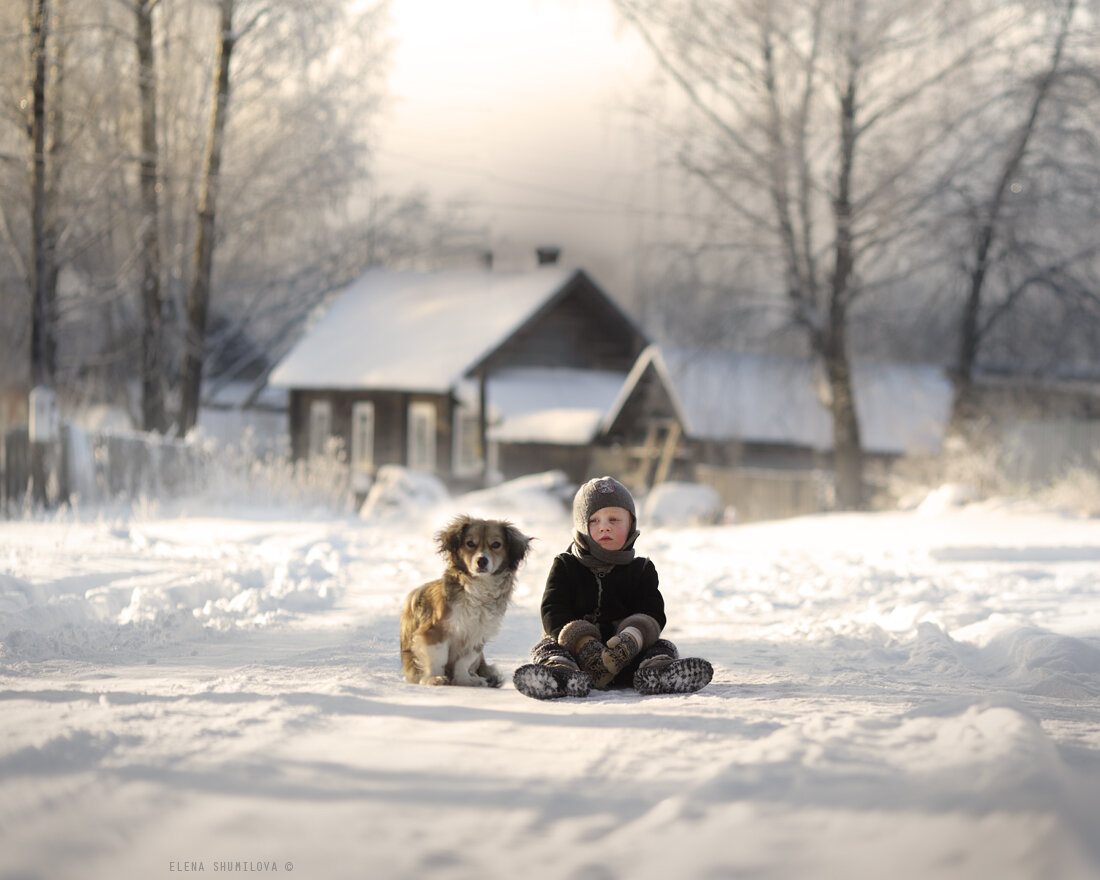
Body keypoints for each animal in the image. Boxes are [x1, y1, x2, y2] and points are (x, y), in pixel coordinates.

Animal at [400, 514, 532, 686]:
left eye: (496, 544)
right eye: (470, 543)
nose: (482, 560)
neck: (479, 587)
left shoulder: (477, 635)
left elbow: (463, 661)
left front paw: (465, 679)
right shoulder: (434, 631)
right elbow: (437, 657)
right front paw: (434, 678)